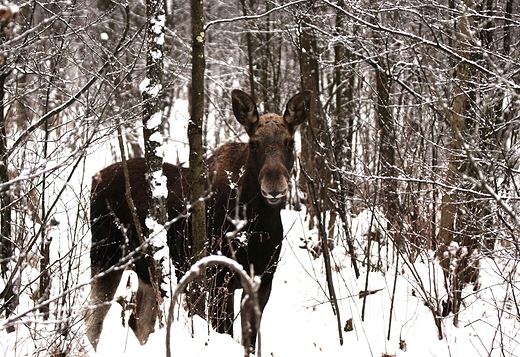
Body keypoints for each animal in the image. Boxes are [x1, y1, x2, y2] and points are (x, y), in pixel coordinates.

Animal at [87, 87, 310, 350]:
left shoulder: (262, 281)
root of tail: (94, 180)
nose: (274, 186)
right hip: (106, 256)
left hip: (146, 268)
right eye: (254, 143)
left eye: (290, 142)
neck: (259, 225)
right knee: (92, 321)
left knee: (138, 321)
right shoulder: (218, 280)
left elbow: (249, 342)